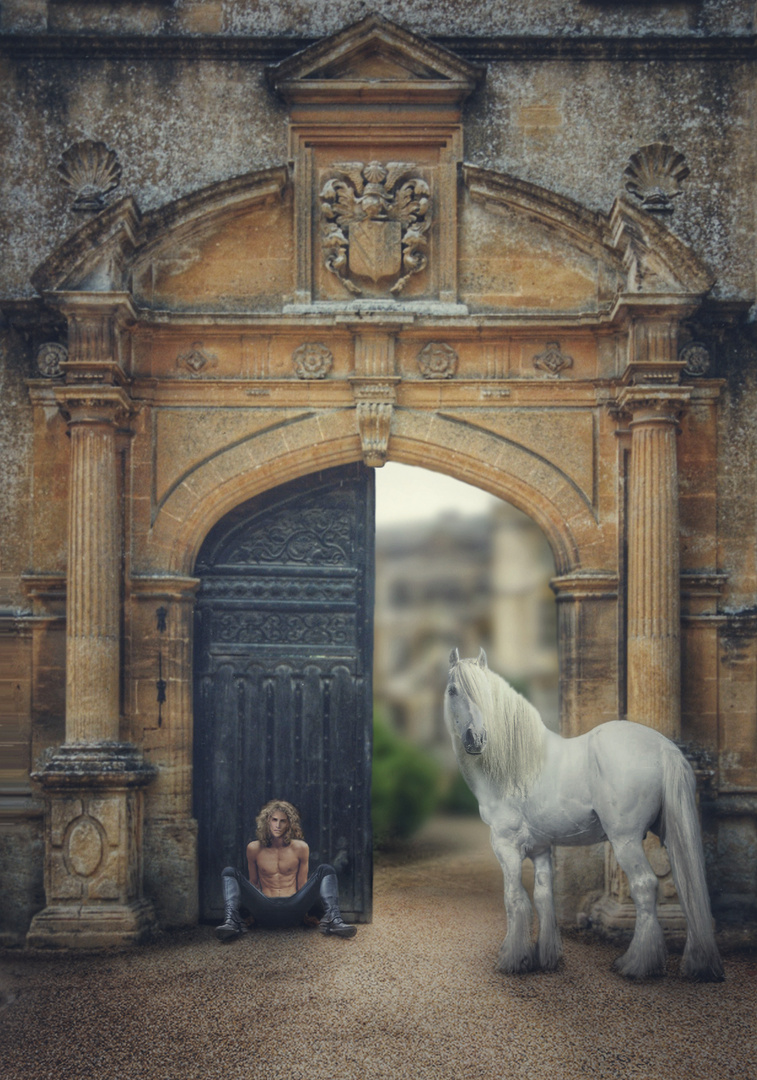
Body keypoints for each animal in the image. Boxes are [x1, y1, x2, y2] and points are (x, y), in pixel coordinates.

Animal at [444, 643, 721, 984]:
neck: (515, 765)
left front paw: (513, 959)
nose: (476, 738)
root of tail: (664, 748)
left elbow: (515, 899)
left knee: (645, 887)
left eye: (485, 692)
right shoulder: (541, 848)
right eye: (453, 690)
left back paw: (636, 965)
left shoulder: (506, 846)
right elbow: (543, 897)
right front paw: (547, 958)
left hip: (626, 840)